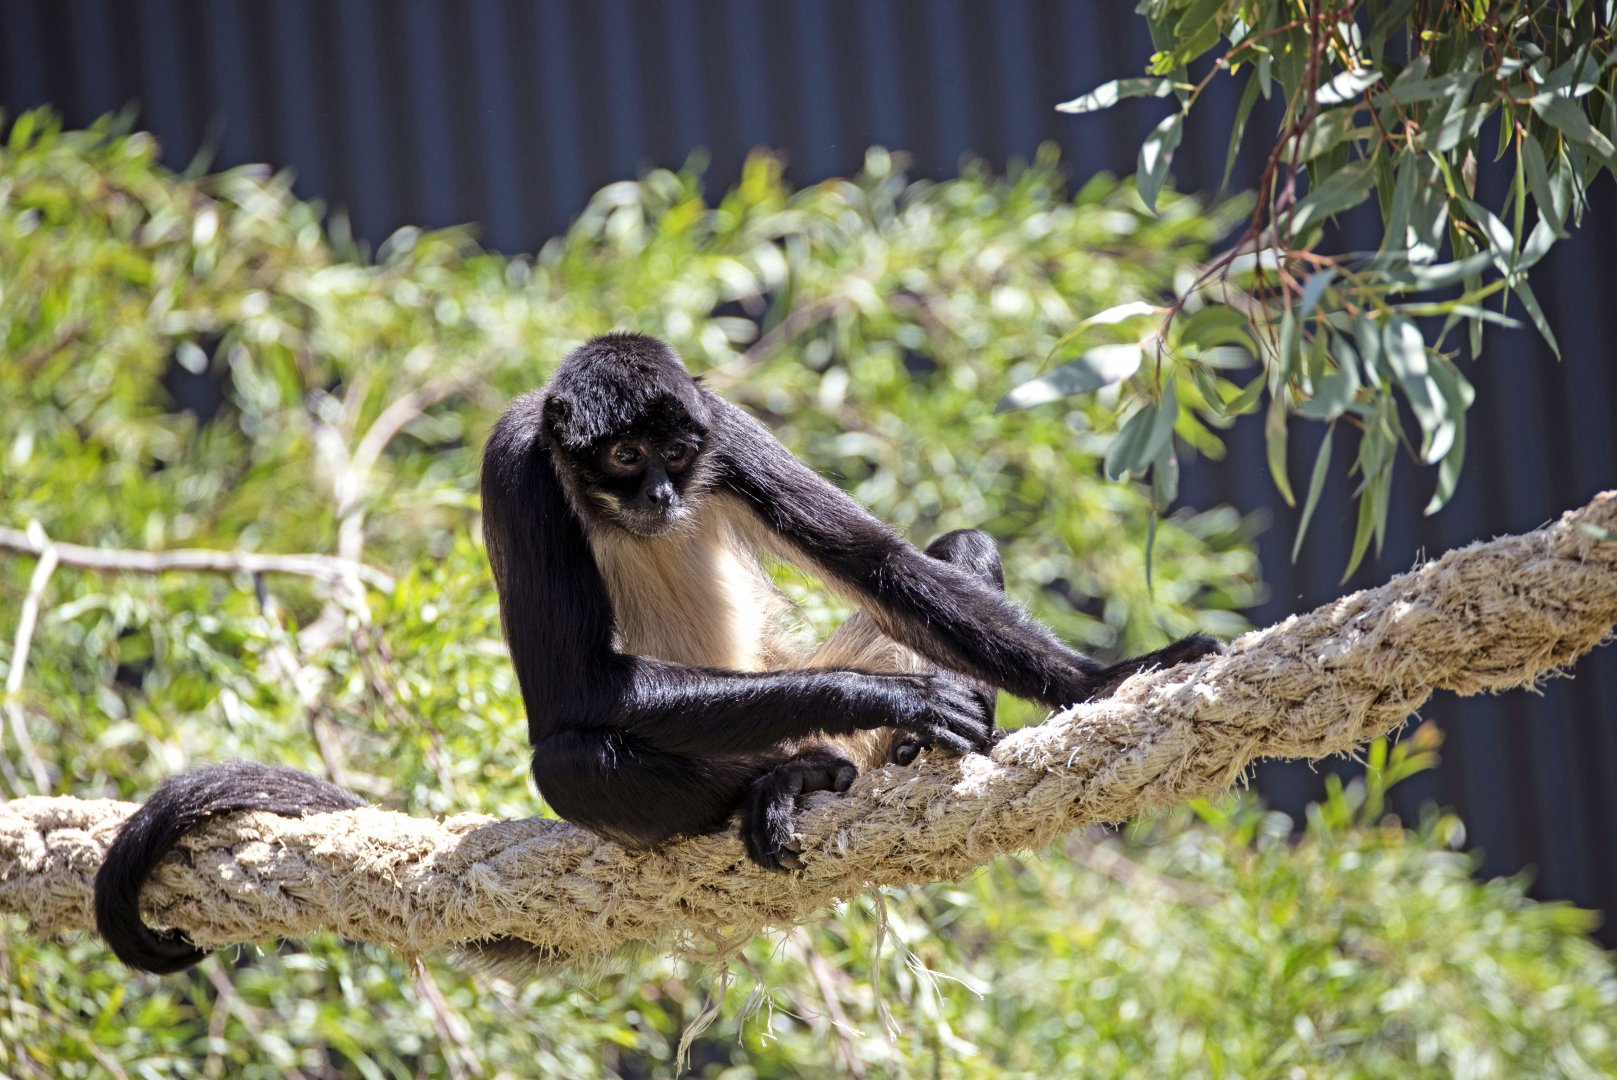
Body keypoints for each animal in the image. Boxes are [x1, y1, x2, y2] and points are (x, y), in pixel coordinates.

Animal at [94, 332, 1221, 973]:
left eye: (674, 451)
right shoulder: (517, 464)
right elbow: (573, 698)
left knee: (955, 553)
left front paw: (1108, 677)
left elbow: (890, 563)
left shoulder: (723, 422)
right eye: (623, 456)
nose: (664, 493)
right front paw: (892, 699)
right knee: (572, 758)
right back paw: (787, 781)